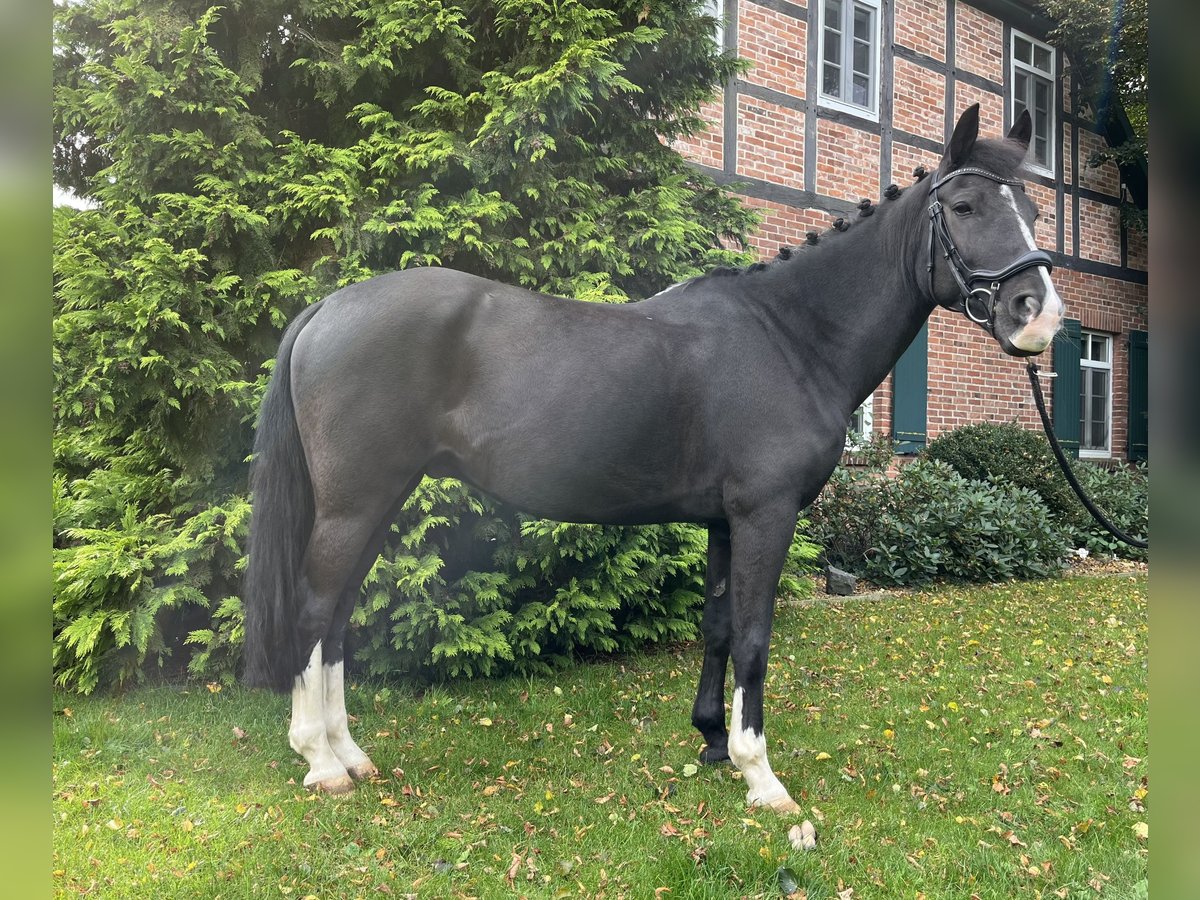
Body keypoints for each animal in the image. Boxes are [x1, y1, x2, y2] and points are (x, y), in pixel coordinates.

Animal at [241, 105, 1060, 811]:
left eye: (1033, 208)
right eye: (964, 208)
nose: (1039, 314)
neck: (789, 335)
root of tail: (329, 306)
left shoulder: (725, 521)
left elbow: (719, 627)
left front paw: (712, 745)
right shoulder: (764, 515)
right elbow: (755, 637)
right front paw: (761, 776)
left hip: (380, 499)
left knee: (337, 618)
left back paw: (350, 754)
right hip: (354, 502)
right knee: (315, 610)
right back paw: (320, 760)